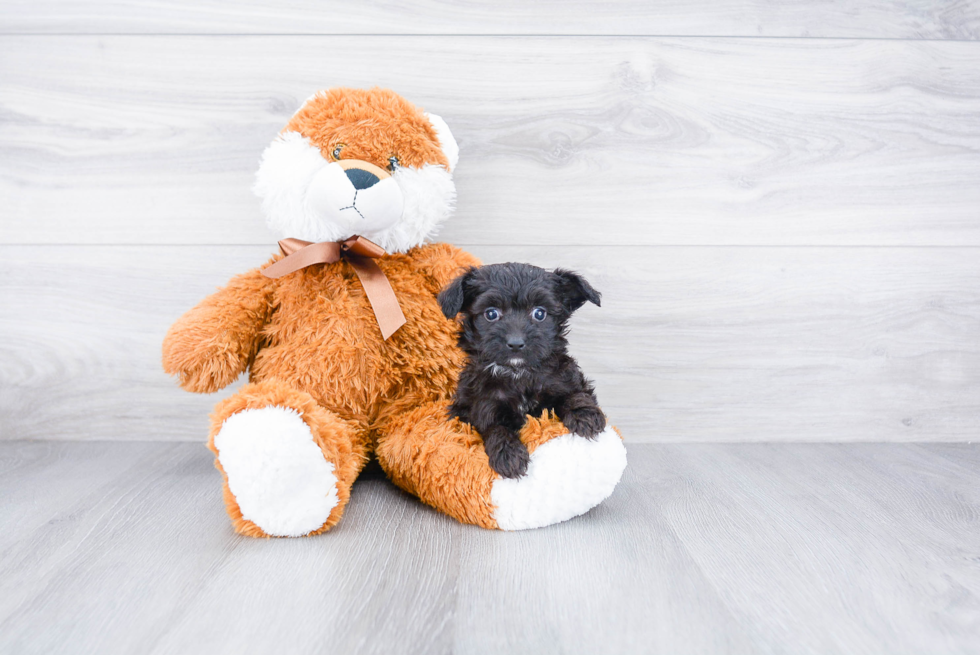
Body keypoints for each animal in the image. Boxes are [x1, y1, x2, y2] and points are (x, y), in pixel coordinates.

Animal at [438, 264, 604, 480]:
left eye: (539, 314)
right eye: (491, 314)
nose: (516, 343)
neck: (519, 373)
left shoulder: (563, 378)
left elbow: (575, 394)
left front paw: (585, 415)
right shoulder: (485, 404)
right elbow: (496, 427)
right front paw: (508, 454)